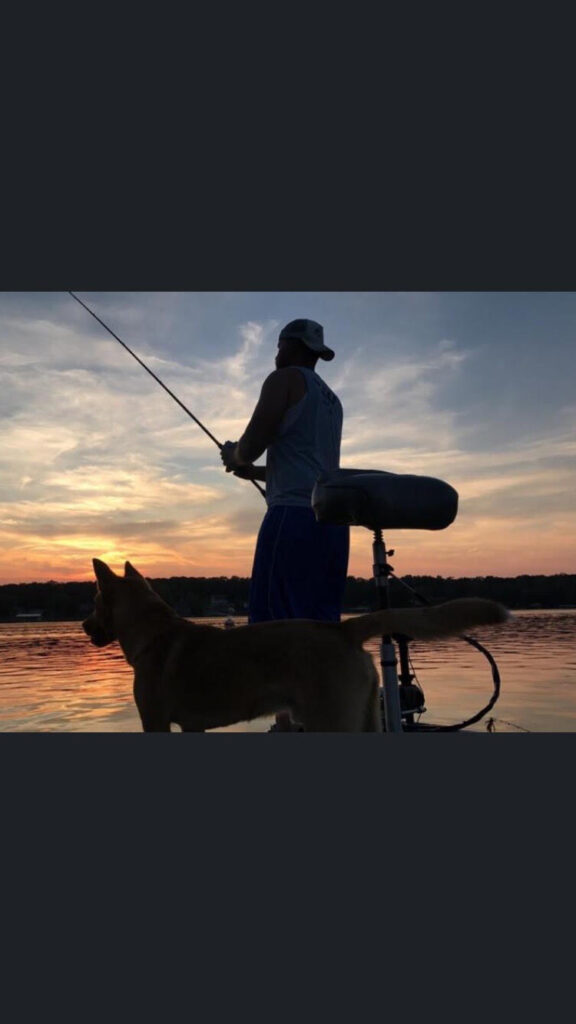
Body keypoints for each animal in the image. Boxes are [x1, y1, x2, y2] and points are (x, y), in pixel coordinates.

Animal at [81, 557, 506, 733]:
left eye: (95, 601)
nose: (84, 626)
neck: (153, 635)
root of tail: (343, 628)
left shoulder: (154, 721)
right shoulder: (191, 726)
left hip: (331, 719)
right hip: (363, 716)